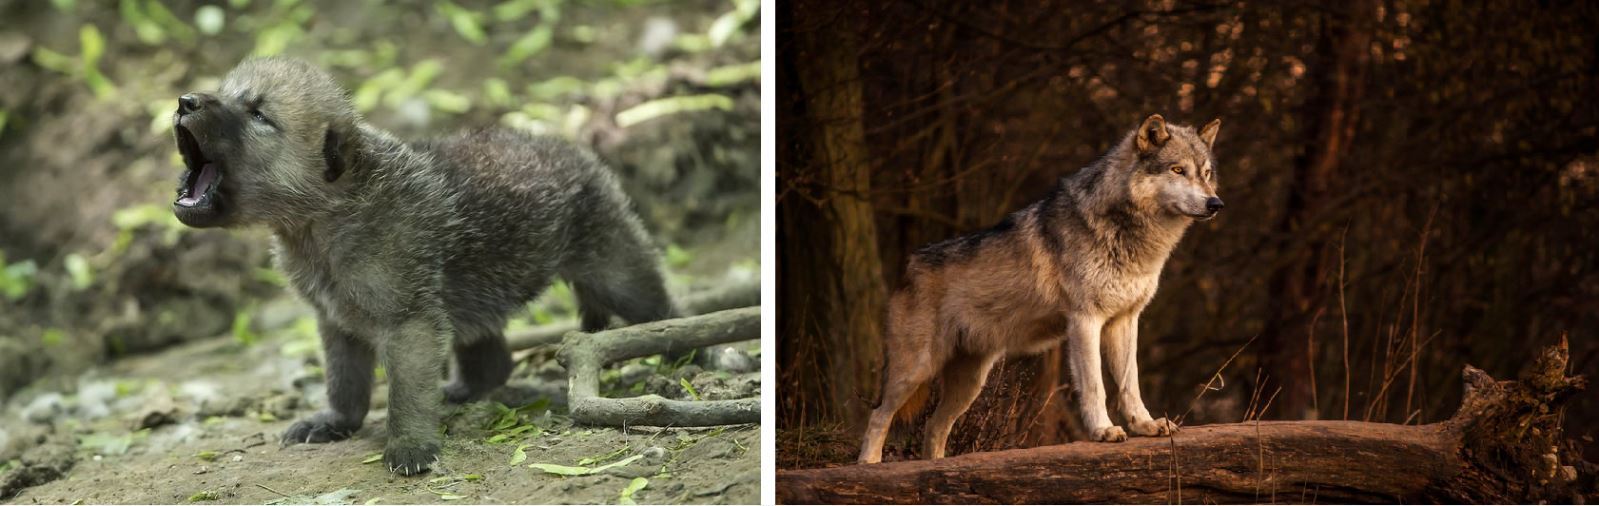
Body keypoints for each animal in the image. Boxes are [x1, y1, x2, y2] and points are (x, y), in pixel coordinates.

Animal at [170, 58, 681, 473]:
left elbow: (406, 393)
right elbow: (344, 382)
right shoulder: (336, 321)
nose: (185, 101)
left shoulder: (408, 323)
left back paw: (683, 354)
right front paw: (336, 422)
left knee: (658, 306)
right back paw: (465, 390)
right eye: (226, 93)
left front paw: (410, 446)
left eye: (258, 114)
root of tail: (572, 147)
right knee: (492, 359)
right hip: (477, 293)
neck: (323, 220)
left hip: (614, 268)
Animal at [863, 113, 1221, 461]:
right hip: (917, 370)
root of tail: (908, 266)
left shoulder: (1124, 321)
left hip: (970, 382)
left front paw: (1145, 425)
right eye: (1178, 170)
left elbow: (1129, 383)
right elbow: (1095, 385)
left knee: (934, 427)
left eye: (1205, 173)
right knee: (878, 415)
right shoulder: (1085, 321)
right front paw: (1103, 430)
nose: (1215, 203)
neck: (1130, 233)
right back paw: (869, 464)